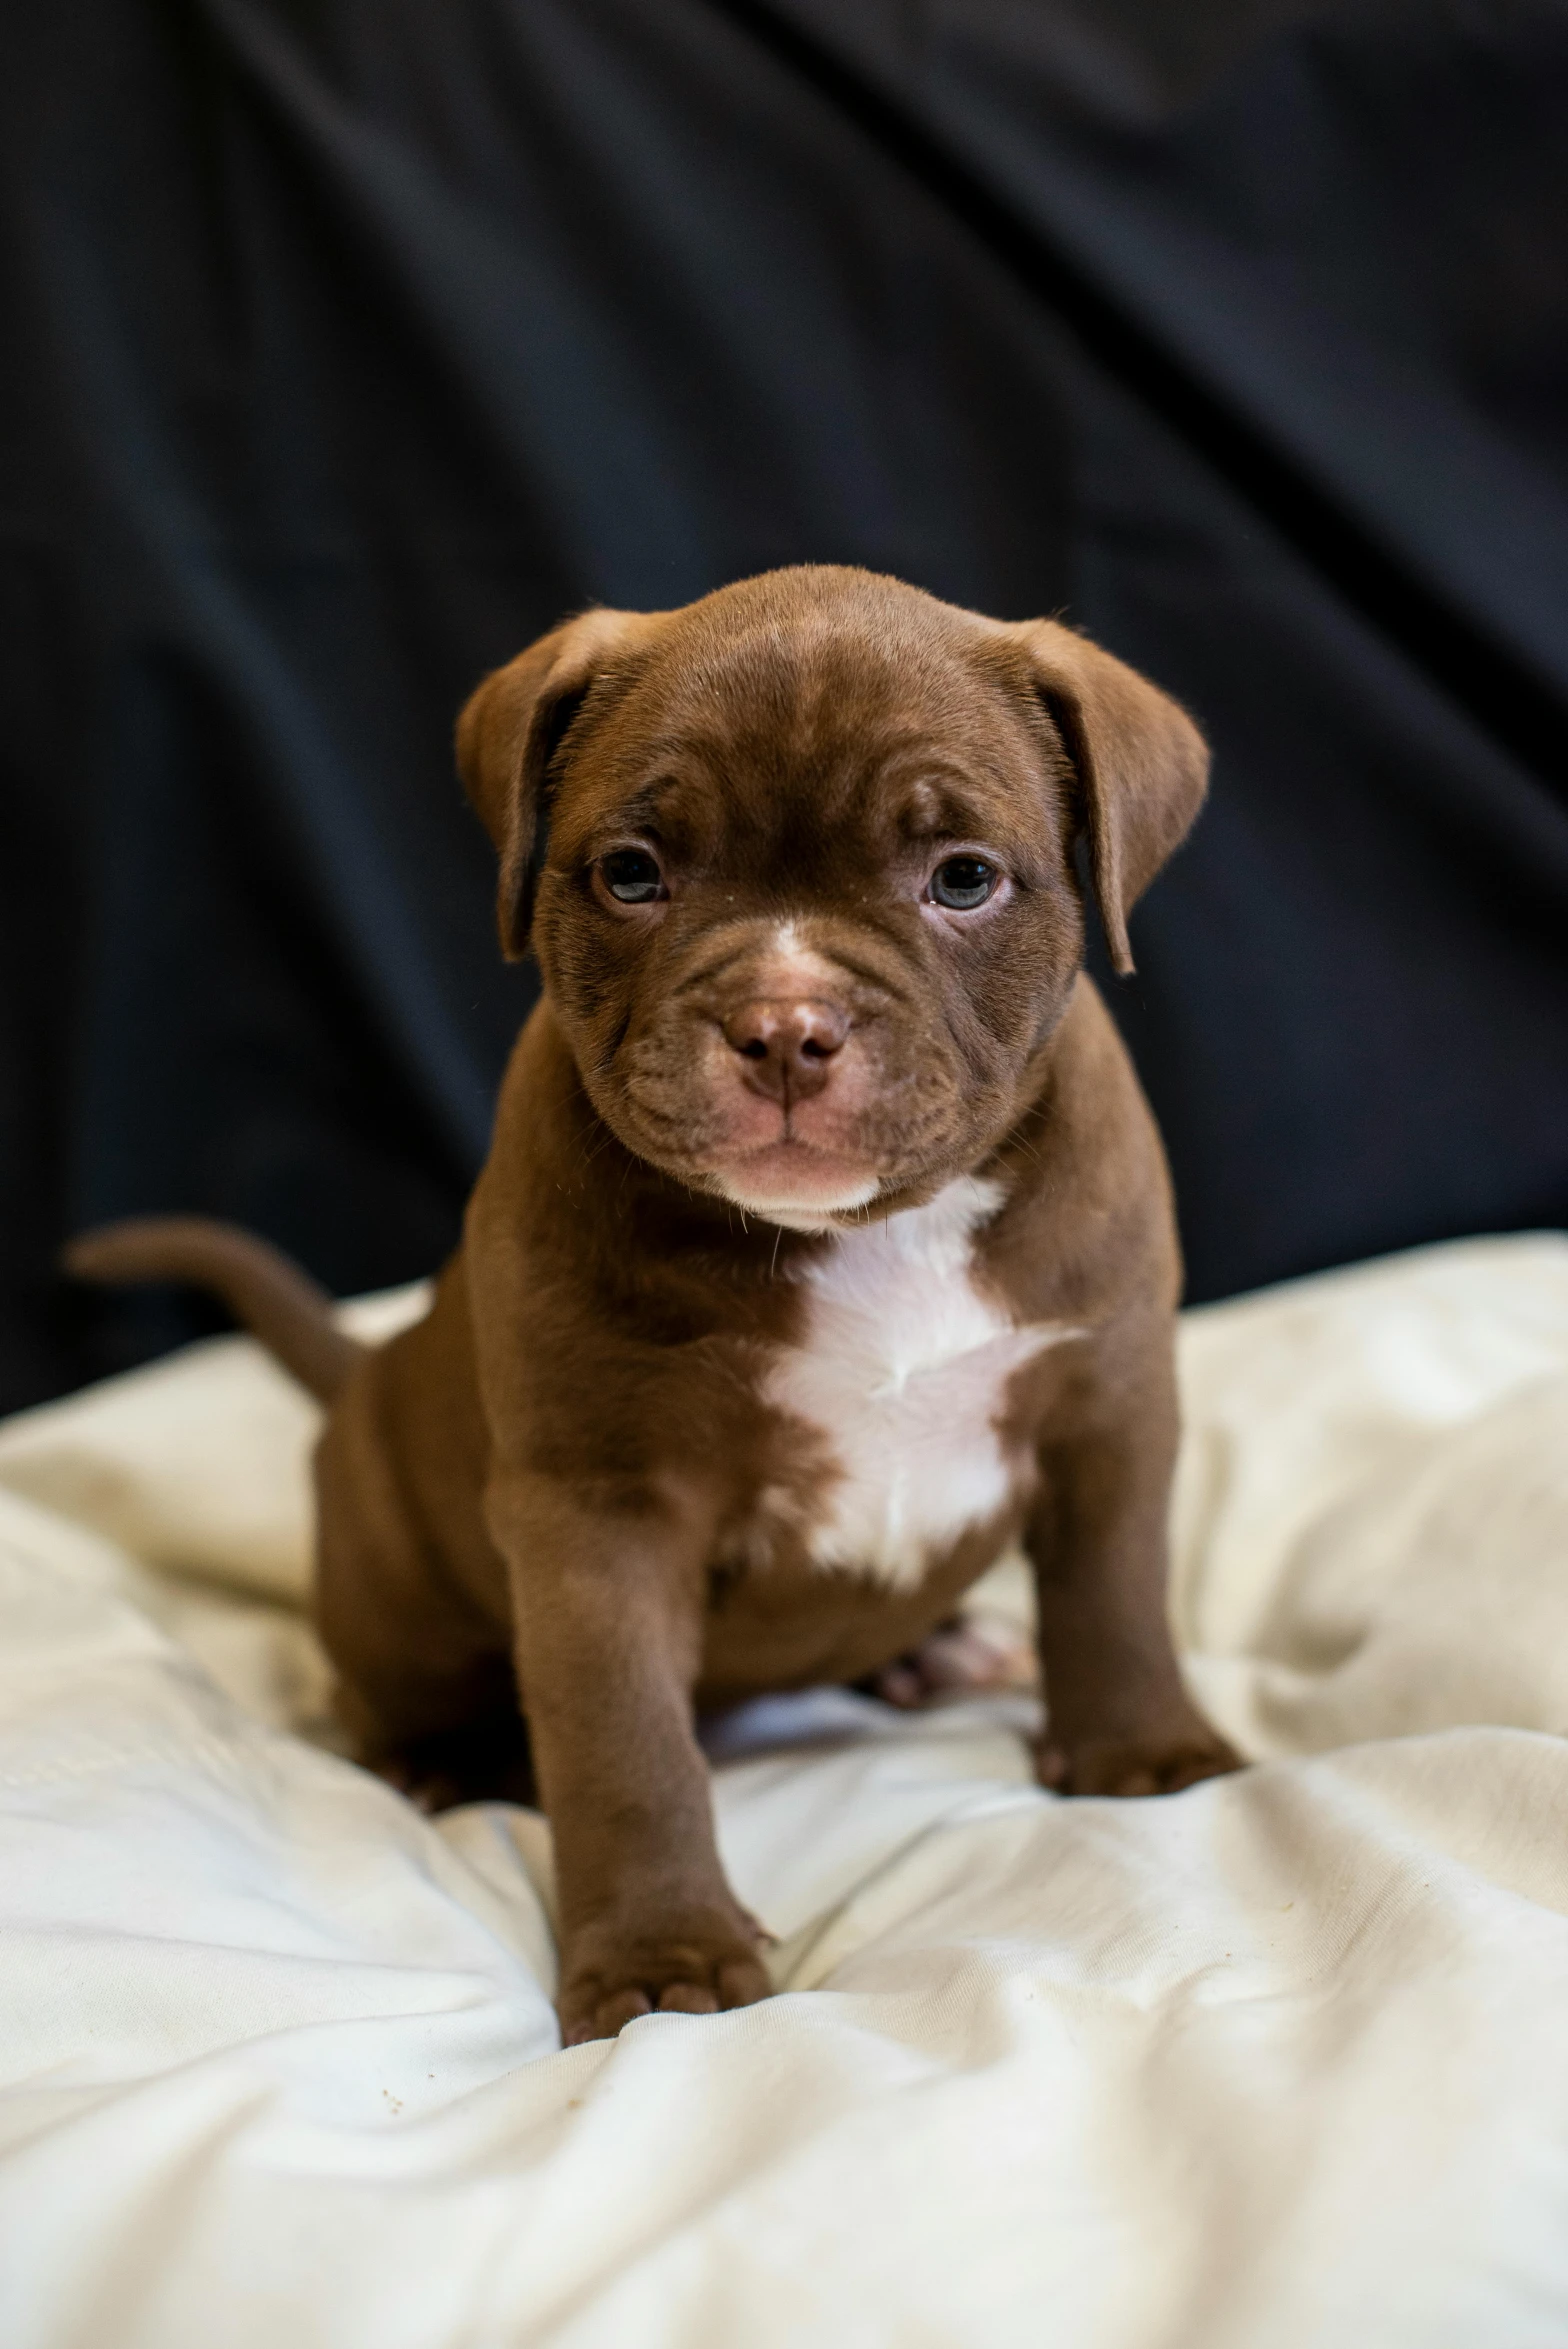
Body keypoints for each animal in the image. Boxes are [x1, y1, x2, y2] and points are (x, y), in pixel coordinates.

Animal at [70, 563, 1239, 2038]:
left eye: (964, 878)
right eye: (632, 873)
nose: (786, 1026)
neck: (867, 1234)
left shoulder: (1108, 1406)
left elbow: (1115, 1593)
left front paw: (1144, 1753)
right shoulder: (600, 1513)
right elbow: (623, 1746)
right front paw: (660, 1959)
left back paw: (927, 1653)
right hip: (389, 1565)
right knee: (393, 1681)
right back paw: (438, 1758)